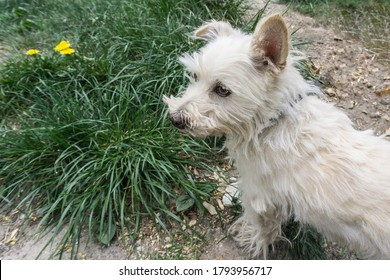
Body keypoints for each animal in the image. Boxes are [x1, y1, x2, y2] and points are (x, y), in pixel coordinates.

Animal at [164, 14, 390, 260]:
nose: (175, 119)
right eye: (195, 76)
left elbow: (262, 227)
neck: (273, 123)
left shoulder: (262, 199)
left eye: (222, 89)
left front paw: (250, 240)